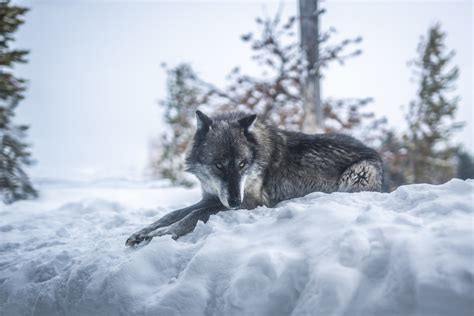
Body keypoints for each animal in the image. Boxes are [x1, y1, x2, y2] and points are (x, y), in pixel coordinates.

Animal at [125, 111, 382, 247]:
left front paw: (160, 234)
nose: (234, 202)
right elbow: (173, 213)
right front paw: (142, 232)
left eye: (242, 164)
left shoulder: (249, 201)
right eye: (219, 165)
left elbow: (193, 215)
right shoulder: (212, 198)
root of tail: (375, 152)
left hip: (359, 172)